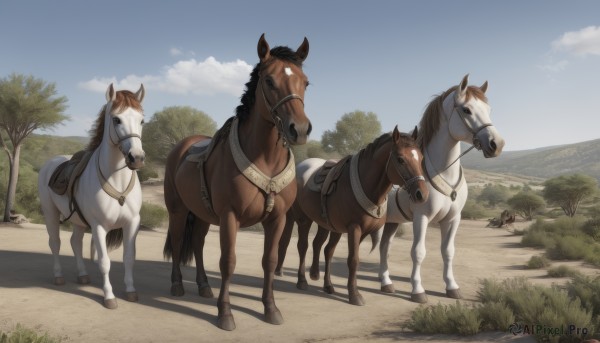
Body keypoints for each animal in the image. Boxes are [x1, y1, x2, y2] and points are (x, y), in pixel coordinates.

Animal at [38, 84, 145, 310]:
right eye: (117, 119)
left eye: (141, 120)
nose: (137, 158)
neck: (116, 180)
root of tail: (51, 163)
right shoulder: (99, 226)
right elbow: (104, 262)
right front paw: (109, 297)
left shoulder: (132, 224)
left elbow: (129, 258)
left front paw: (130, 291)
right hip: (50, 213)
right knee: (55, 242)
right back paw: (58, 276)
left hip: (78, 221)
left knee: (75, 242)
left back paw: (82, 275)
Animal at [164, 34, 314, 330]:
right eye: (269, 80)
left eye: (305, 82)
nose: (300, 129)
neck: (265, 159)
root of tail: (180, 149)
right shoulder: (229, 216)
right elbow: (228, 261)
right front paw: (225, 313)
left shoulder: (277, 218)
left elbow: (270, 261)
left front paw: (270, 309)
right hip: (178, 211)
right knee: (177, 241)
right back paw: (177, 285)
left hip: (201, 215)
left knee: (197, 243)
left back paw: (203, 286)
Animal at [276, 127, 426, 306]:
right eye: (400, 159)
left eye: (421, 158)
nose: (422, 194)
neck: (367, 186)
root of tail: (300, 167)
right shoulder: (354, 228)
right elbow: (353, 260)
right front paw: (354, 295)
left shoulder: (361, 232)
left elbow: (344, 257)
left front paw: (343, 289)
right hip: (303, 219)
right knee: (303, 246)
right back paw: (302, 281)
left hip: (328, 225)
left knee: (323, 248)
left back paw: (325, 282)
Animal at [372, 76, 504, 304]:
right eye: (467, 110)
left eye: (488, 109)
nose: (497, 144)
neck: (444, 172)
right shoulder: (421, 217)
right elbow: (418, 252)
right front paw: (418, 290)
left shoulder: (453, 219)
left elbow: (448, 251)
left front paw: (452, 287)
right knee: (381, 244)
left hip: (392, 221)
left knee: (385, 247)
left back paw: (386, 281)